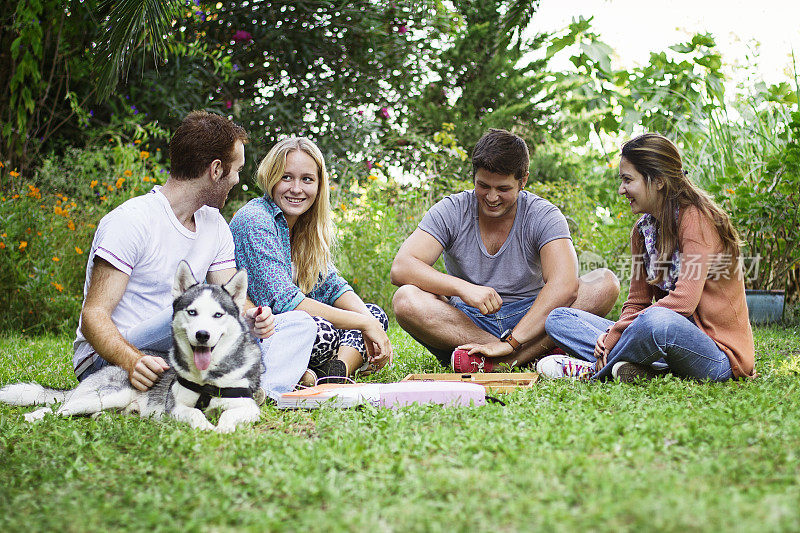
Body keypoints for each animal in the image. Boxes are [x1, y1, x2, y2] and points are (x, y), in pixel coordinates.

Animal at [0, 262, 262, 432]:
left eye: (218, 315)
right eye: (192, 312)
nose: (202, 335)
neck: (208, 379)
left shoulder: (249, 407)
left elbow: (229, 415)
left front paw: (223, 429)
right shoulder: (175, 407)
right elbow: (195, 413)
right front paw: (206, 427)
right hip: (108, 394)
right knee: (58, 408)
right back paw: (34, 417)